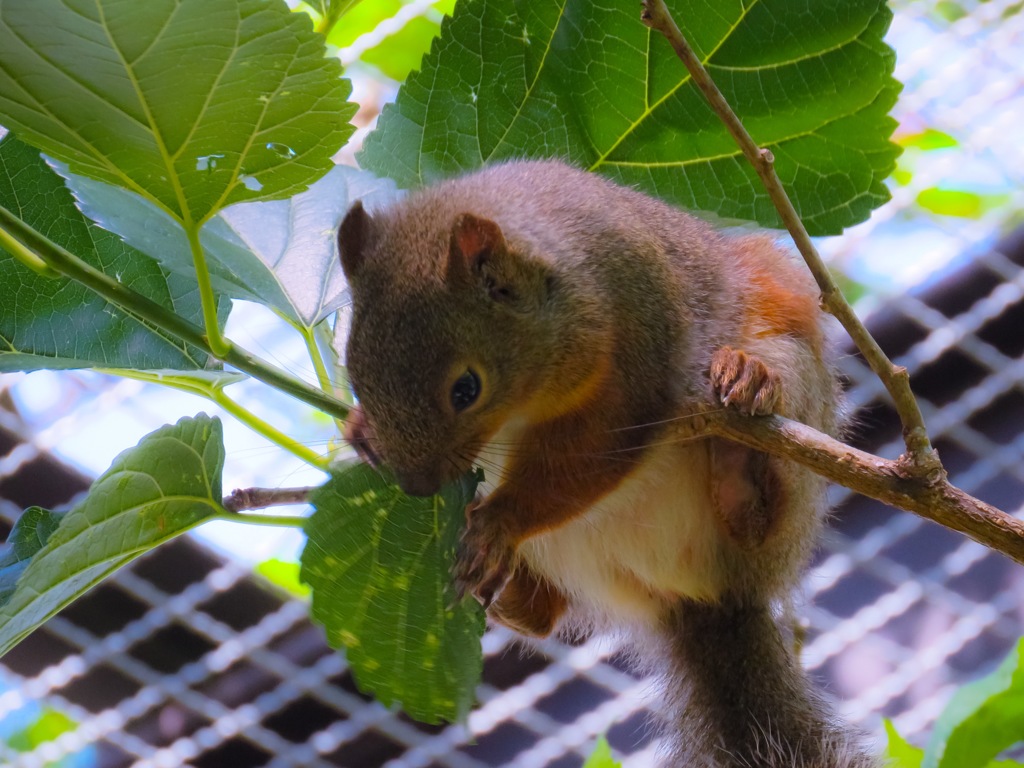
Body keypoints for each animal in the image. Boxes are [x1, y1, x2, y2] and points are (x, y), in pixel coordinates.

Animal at [339, 159, 876, 765]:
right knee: (543, 616)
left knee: (765, 506)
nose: (417, 486)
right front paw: (360, 433)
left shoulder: (634, 344)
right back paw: (511, 595)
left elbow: (594, 452)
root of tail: (703, 596)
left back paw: (745, 442)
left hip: (794, 408)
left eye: (466, 389)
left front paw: (501, 521)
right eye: (356, 379)